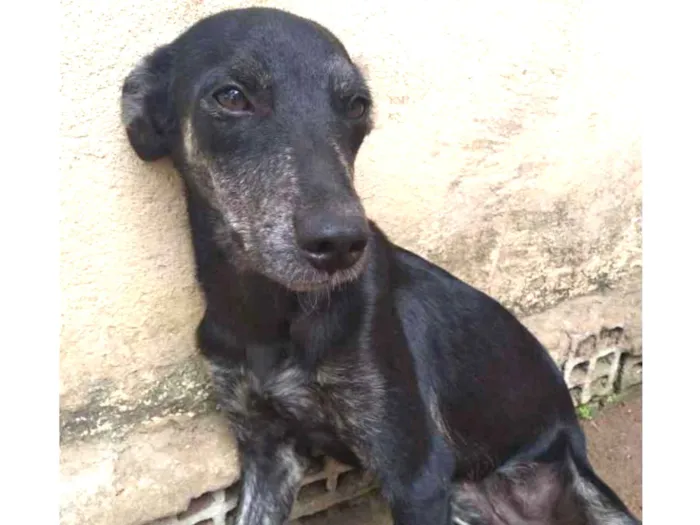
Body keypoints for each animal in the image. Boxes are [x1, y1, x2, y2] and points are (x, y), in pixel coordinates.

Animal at [121, 8, 640, 524]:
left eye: (356, 105)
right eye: (231, 96)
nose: (341, 243)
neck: (269, 312)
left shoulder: (417, 474)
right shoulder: (267, 450)